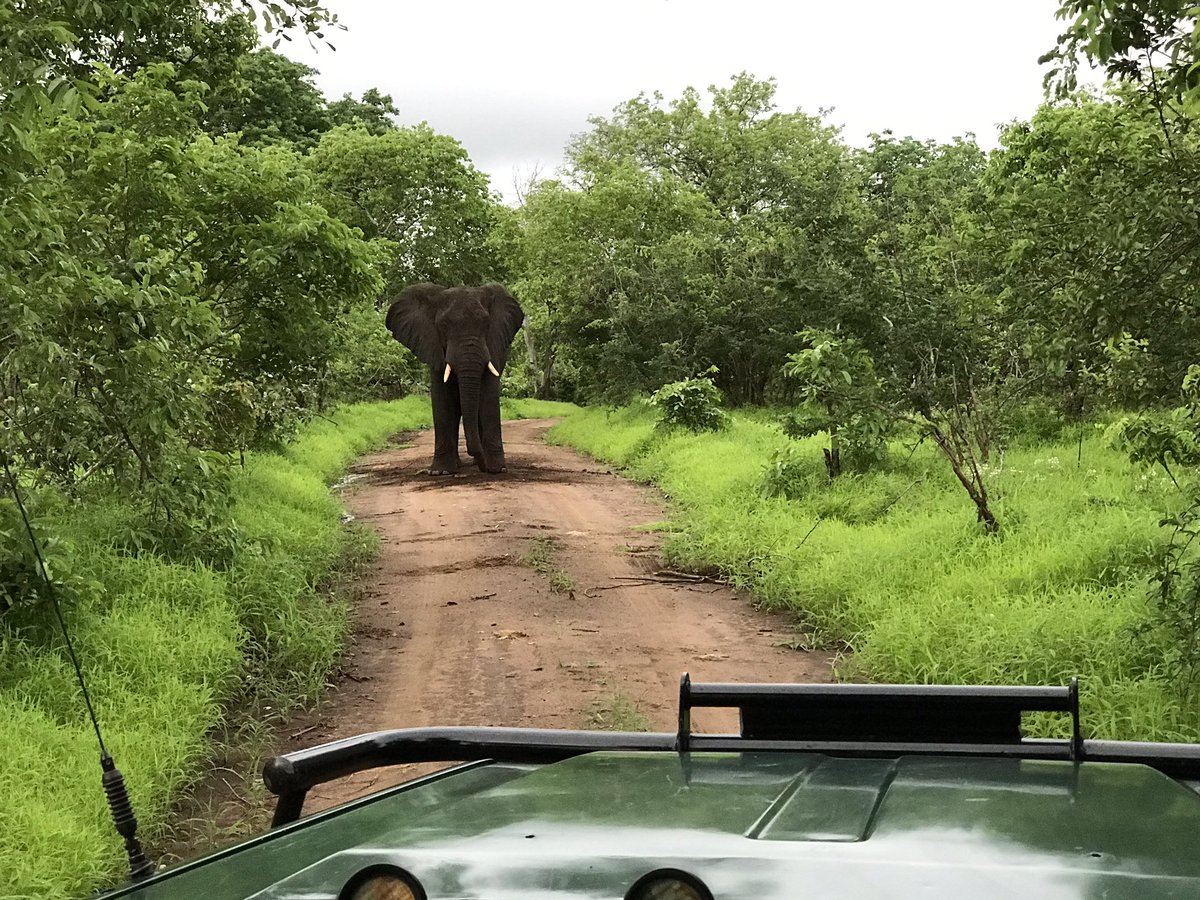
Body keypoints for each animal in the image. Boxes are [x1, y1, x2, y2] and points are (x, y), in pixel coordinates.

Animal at [386, 283, 525, 475]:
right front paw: (441, 472)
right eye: (444, 326)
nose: (483, 467)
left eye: (485, 324)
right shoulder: (433, 346)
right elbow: (442, 399)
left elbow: (488, 397)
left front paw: (497, 469)